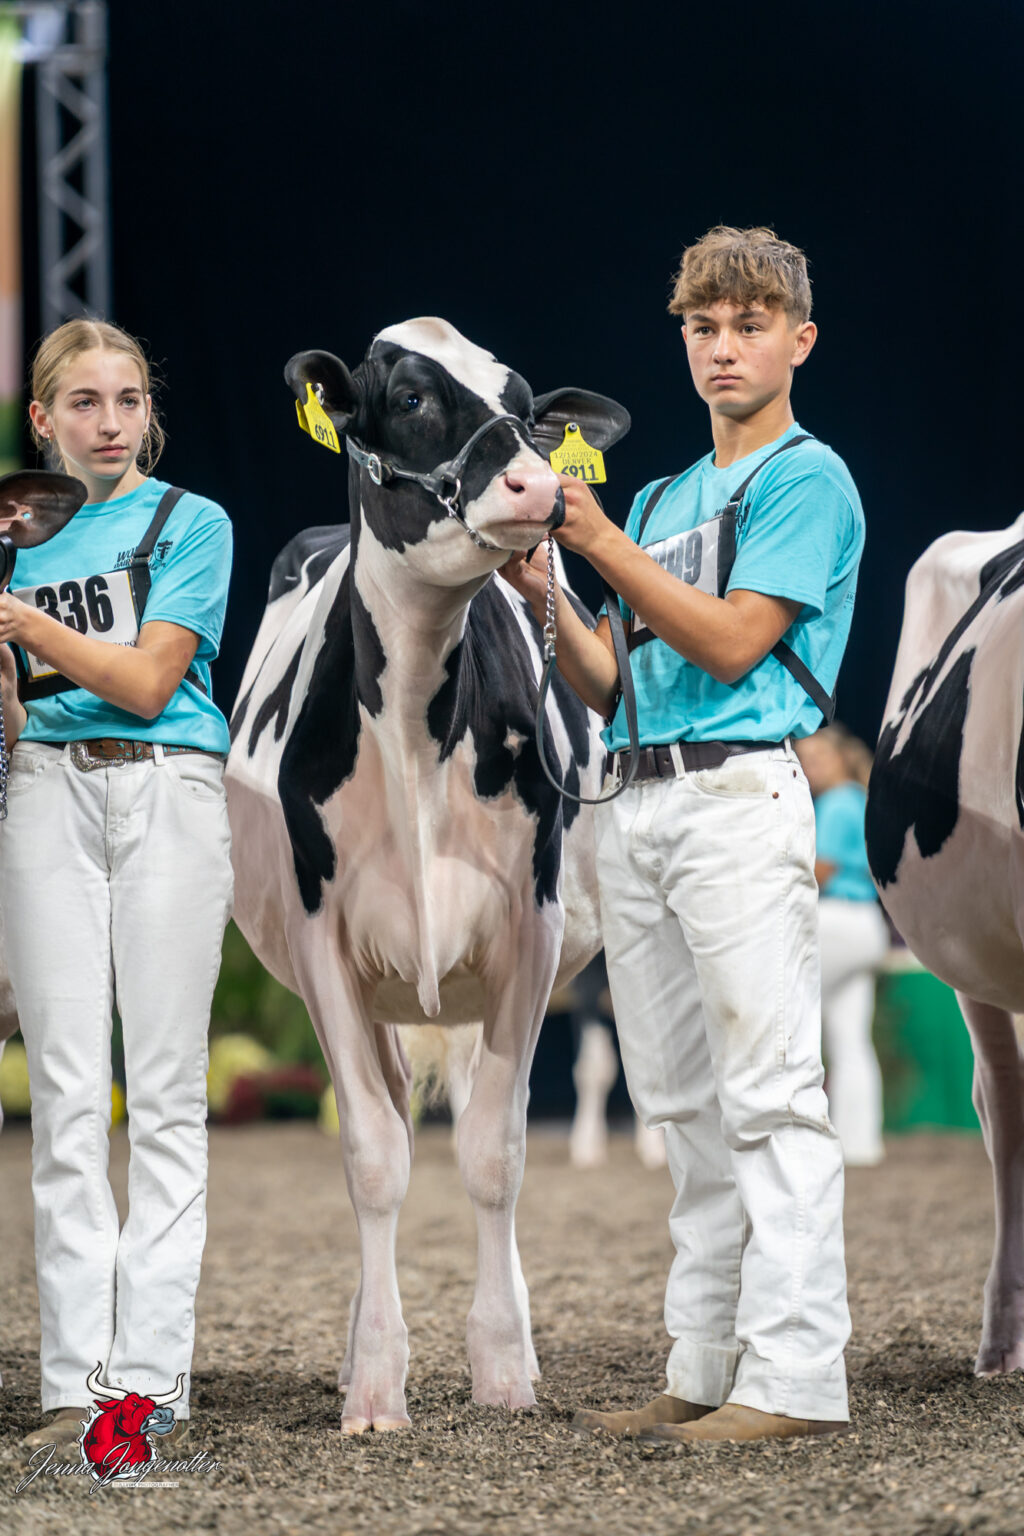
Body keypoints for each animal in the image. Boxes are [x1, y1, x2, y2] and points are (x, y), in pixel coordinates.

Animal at [226, 317, 629, 1433]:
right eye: (406, 398)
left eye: (530, 410)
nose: (540, 487)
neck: (412, 715)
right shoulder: (322, 947)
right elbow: (372, 1156)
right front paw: (373, 1384)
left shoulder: (532, 931)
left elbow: (496, 1152)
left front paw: (502, 1368)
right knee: (396, 1126)